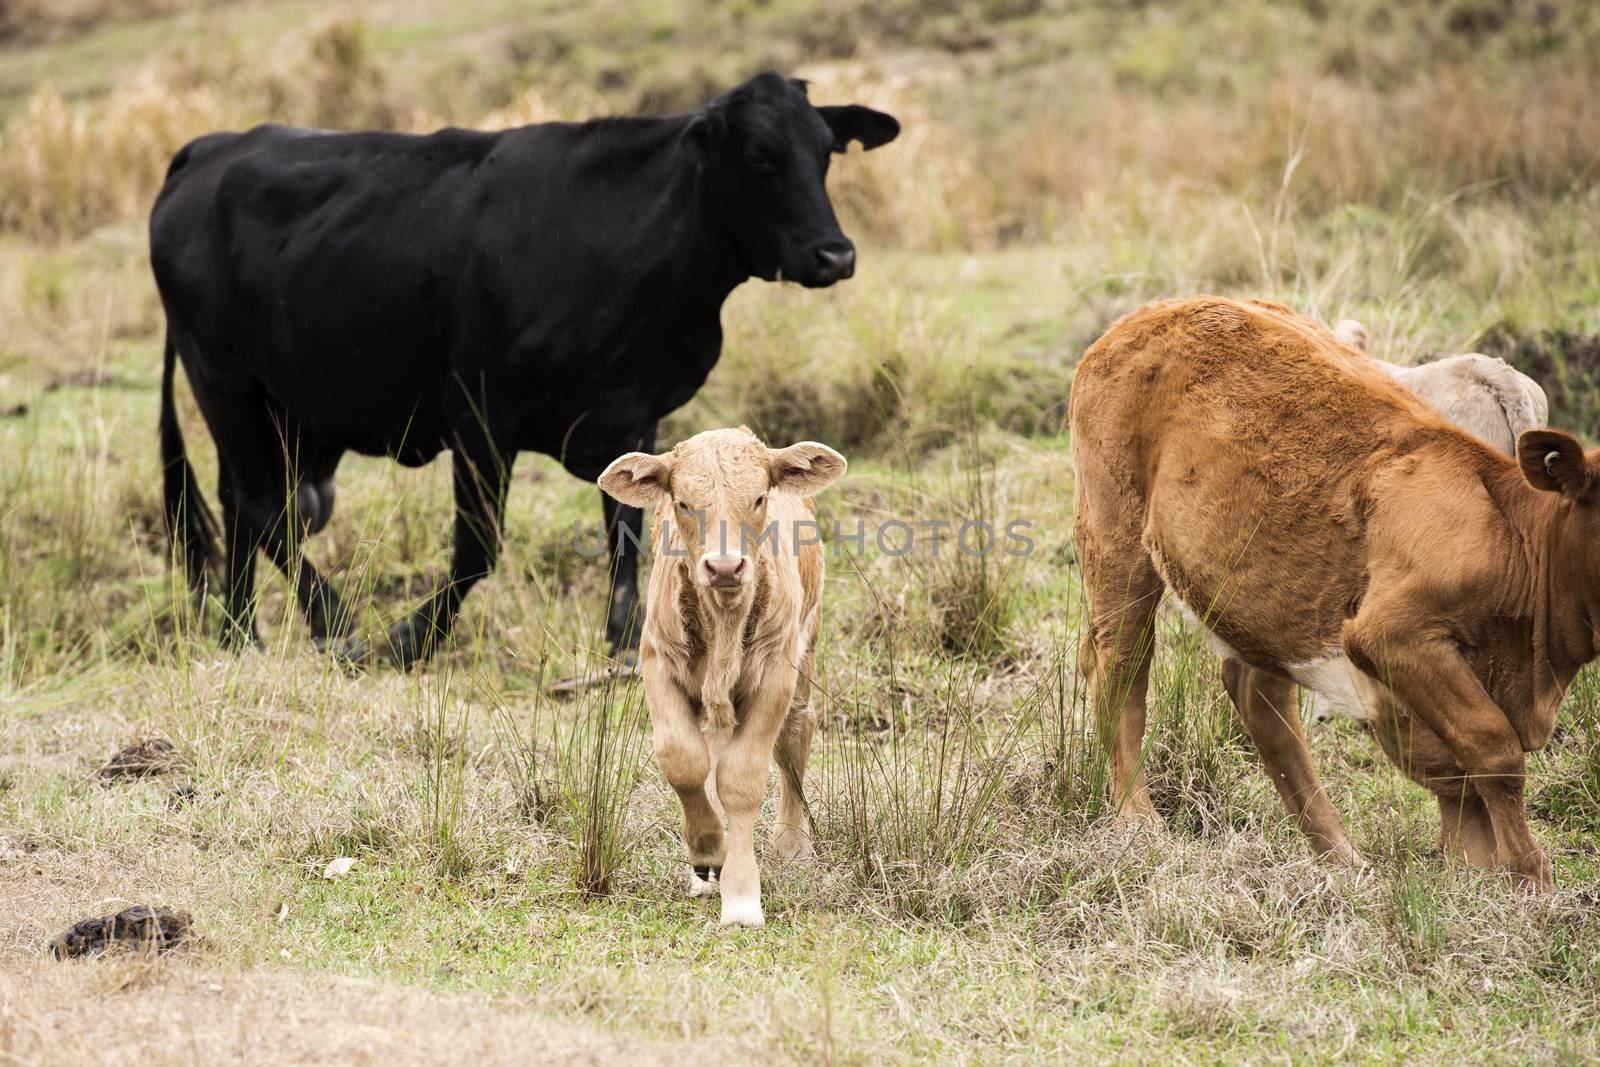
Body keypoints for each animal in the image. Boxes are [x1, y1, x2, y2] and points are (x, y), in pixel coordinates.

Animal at [150, 70, 902, 662]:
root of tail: (213, 146)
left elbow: (627, 536)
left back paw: (238, 634)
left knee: (242, 505)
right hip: (223, 379)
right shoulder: (478, 413)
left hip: (285, 405)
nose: (834, 254)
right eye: (757, 155)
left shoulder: (634, 414)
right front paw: (409, 640)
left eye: (825, 152)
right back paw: (335, 626)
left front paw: (622, 643)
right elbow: (477, 547)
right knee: (262, 506)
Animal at [601, 425, 851, 927]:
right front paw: (708, 851)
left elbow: (741, 779)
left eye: (758, 498)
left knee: (796, 734)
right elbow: (683, 760)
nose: (724, 567)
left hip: (806, 651)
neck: (724, 623)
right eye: (682, 502)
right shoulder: (656, 658)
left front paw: (740, 895)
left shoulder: (775, 673)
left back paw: (791, 845)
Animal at [1068, 295, 1593, 889]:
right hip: (1118, 543)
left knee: (1252, 691)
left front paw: (1474, 870)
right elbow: (1481, 749)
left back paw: (1340, 854)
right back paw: (1139, 821)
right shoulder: (1402, 638)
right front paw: (1517, 879)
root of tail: (1140, 319)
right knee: (1120, 664)